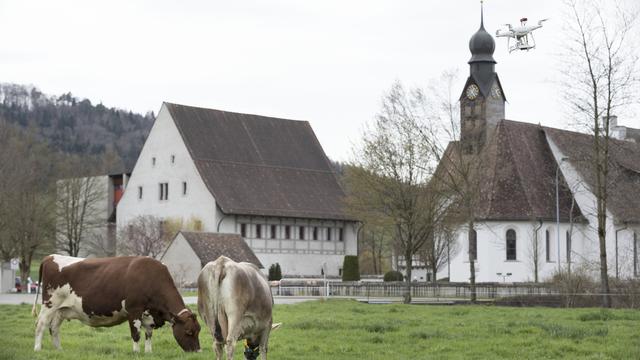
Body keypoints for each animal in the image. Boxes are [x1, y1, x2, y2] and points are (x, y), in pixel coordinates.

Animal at [32, 255, 201, 352]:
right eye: (188, 332)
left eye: (198, 331)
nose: (197, 352)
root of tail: (50, 256)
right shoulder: (134, 310)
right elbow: (136, 334)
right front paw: (136, 353)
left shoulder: (148, 315)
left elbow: (148, 334)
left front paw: (148, 352)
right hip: (50, 303)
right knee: (41, 324)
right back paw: (38, 349)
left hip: (61, 309)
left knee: (54, 327)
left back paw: (59, 350)